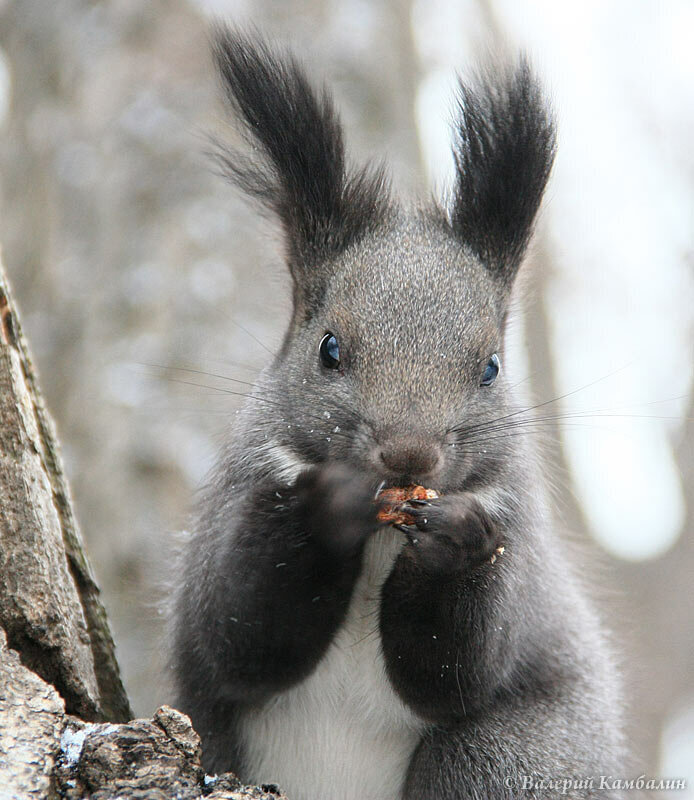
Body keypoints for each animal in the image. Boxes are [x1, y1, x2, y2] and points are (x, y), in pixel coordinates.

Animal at [171, 25, 628, 800]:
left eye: (490, 367)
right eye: (329, 349)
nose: (409, 453)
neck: (385, 534)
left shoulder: (518, 537)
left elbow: (456, 673)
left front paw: (456, 542)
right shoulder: (237, 501)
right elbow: (236, 632)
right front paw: (325, 506)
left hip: (506, 756)